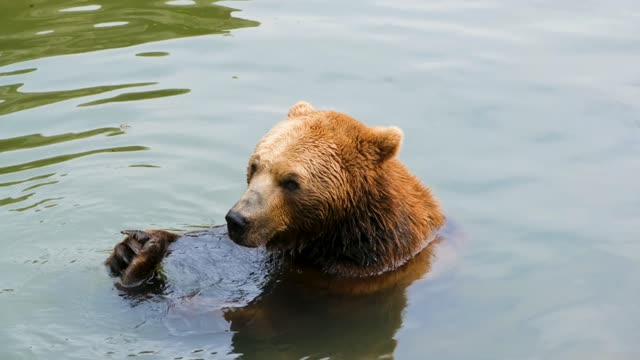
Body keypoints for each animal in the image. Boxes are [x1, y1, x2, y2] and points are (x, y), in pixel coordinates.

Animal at [105, 100, 448, 358]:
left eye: (291, 181)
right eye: (255, 165)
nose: (237, 219)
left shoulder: (346, 281)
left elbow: (242, 317)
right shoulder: (272, 253)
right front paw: (134, 248)